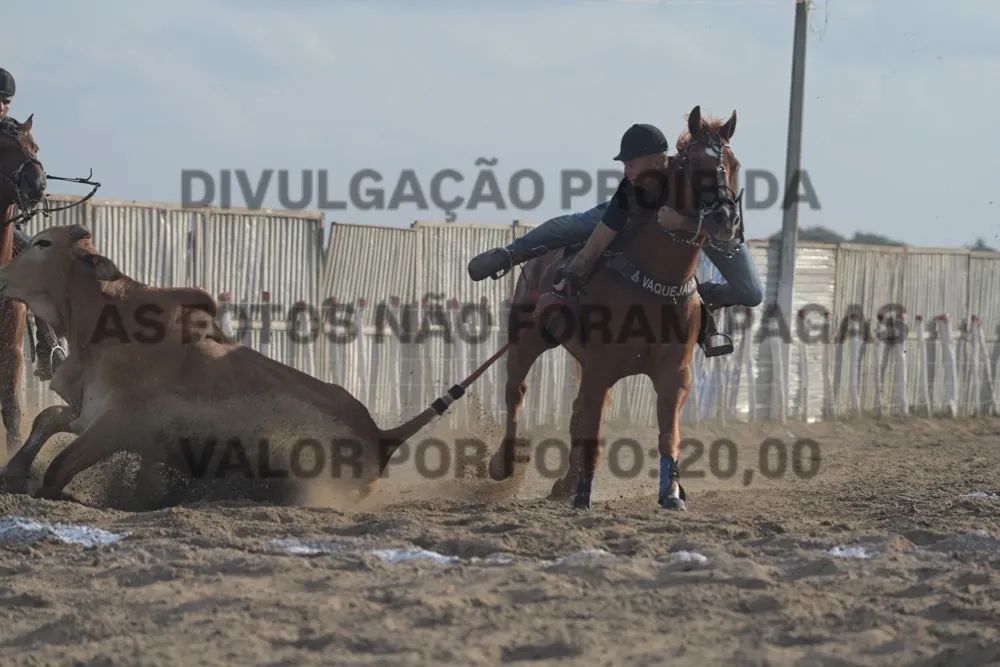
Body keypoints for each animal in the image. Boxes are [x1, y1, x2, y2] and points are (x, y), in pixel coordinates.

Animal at [487, 105, 743, 510]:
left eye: (733, 164)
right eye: (696, 163)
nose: (726, 219)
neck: (655, 282)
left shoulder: (675, 374)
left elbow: (667, 432)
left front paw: (671, 491)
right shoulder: (600, 368)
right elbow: (591, 430)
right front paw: (583, 496)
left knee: (576, 412)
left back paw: (565, 482)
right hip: (527, 339)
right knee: (516, 391)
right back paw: (506, 464)